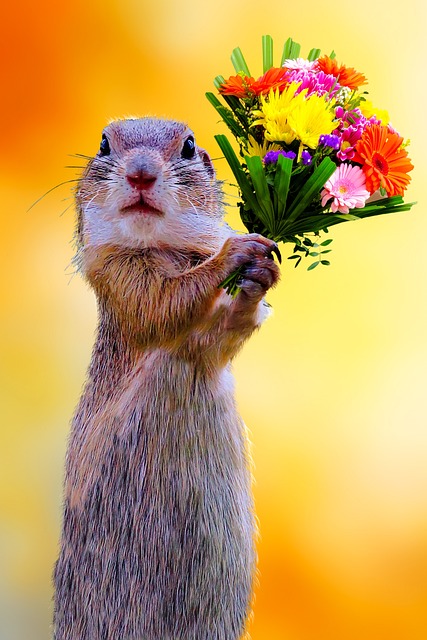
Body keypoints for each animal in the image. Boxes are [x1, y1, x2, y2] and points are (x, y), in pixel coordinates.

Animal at [52, 116, 280, 640]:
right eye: (103, 144)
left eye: (190, 147)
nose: (140, 174)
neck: (159, 245)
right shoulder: (121, 276)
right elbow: (165, 302)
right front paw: (237, 252)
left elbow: (231, 327)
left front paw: (258, 275)